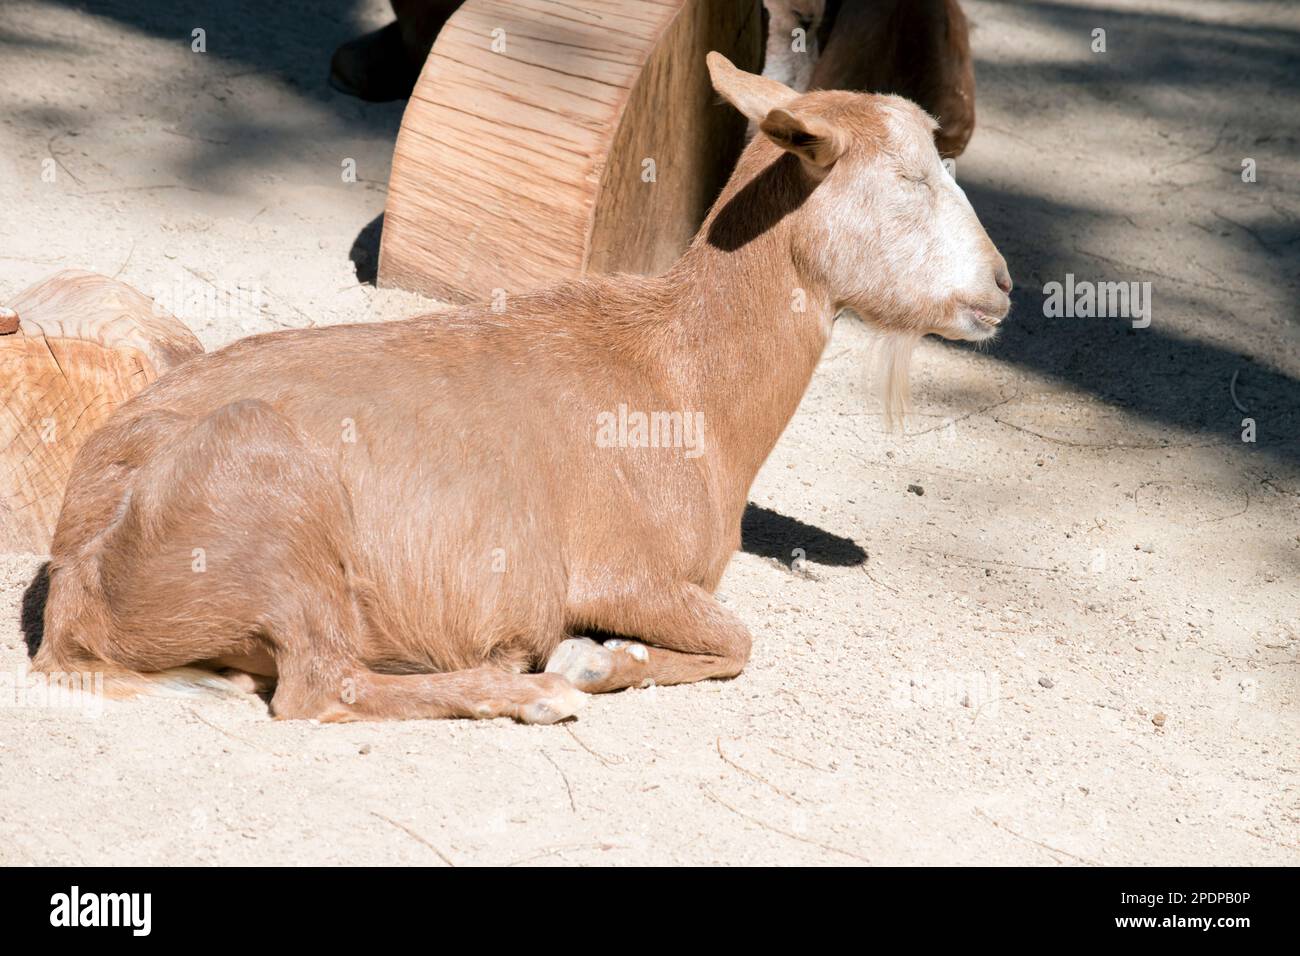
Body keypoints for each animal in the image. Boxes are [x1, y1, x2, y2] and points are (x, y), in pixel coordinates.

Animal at [30, 53, 1011, 723]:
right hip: (277, 514)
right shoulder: (621, 572)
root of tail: (77, 578)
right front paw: (590, 663)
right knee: (321, 686)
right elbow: (736, 641)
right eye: (909, 180)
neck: (680, 377)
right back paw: (525, 690)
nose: (1002, 286)